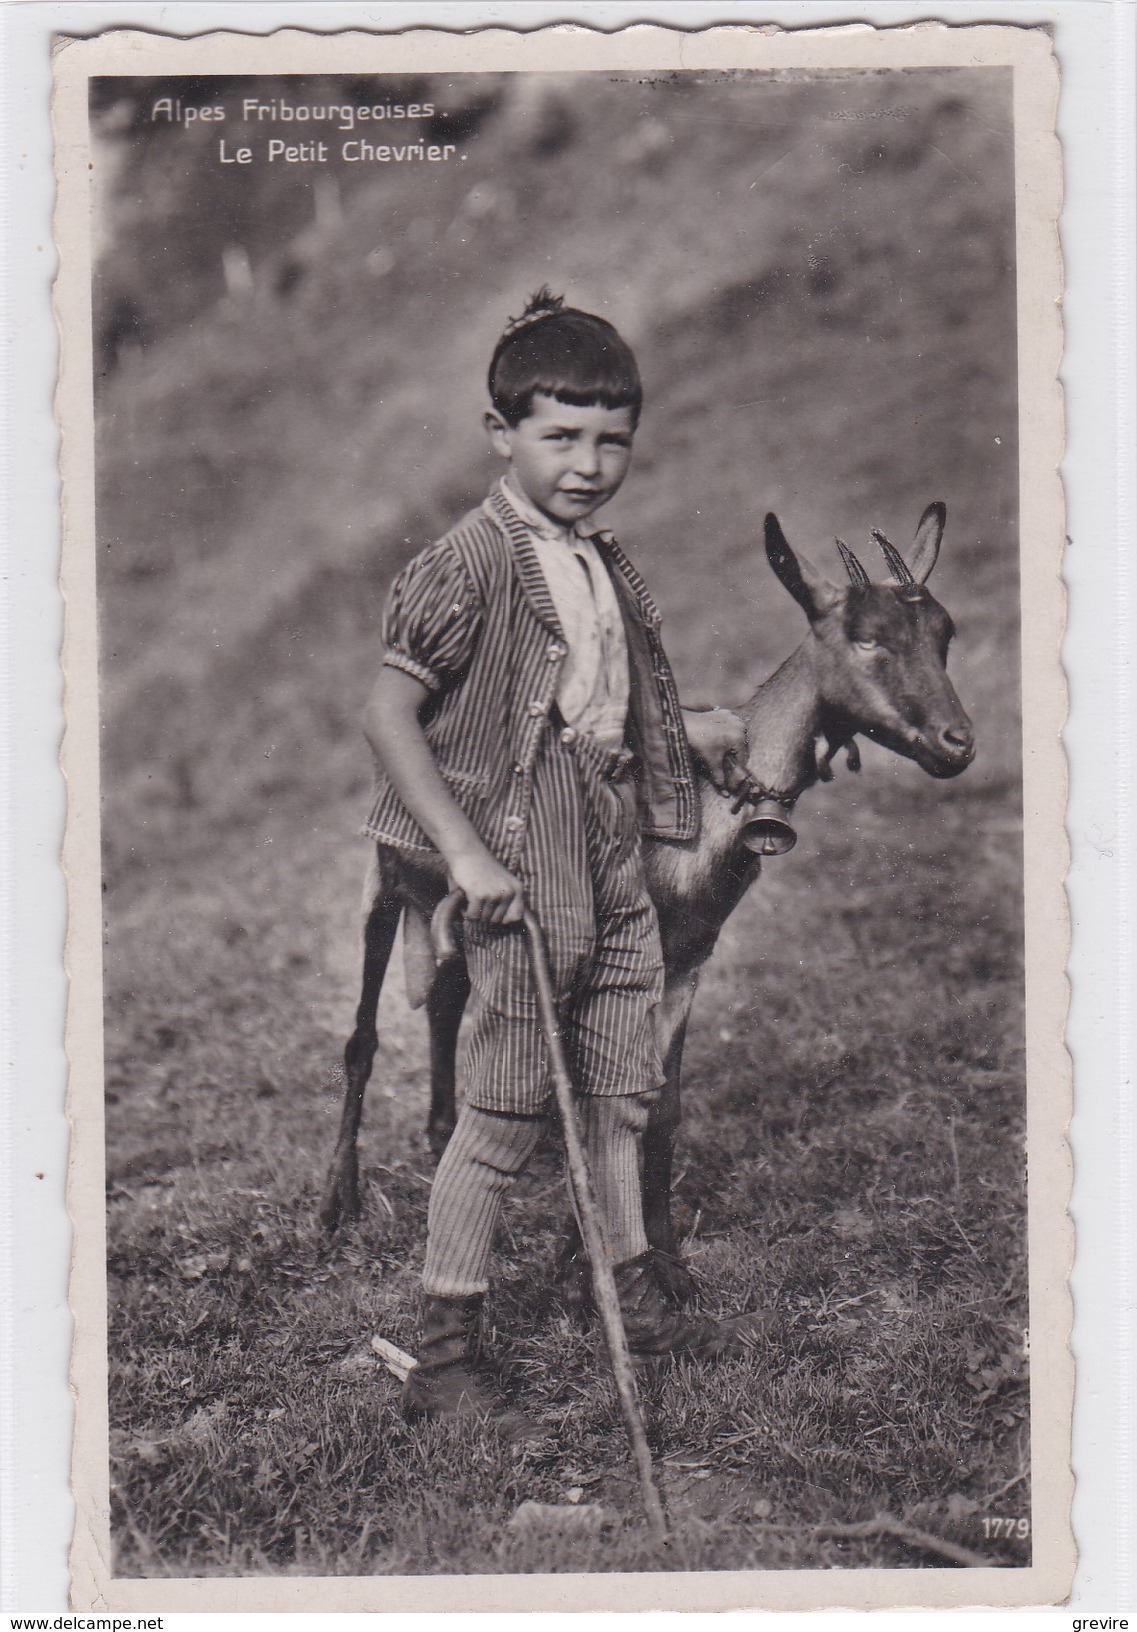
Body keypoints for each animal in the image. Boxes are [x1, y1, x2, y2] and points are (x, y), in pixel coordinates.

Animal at [321, 502, 978, 1292]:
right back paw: (338, 1202)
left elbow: (656, 1106)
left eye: (944, 634)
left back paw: (442, 1127)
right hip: (386, 882)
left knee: (447, 999)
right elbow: (594, 1092)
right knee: (362, 1035)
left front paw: (662, 1260)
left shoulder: (686, 959)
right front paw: (587, 1257)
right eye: (867, 637)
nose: (956, 743)